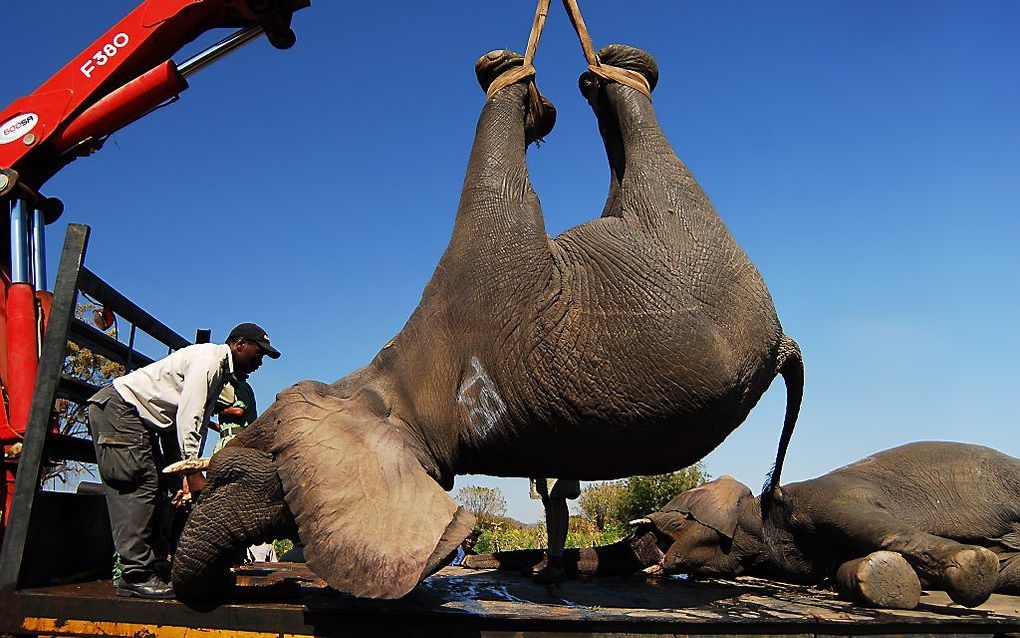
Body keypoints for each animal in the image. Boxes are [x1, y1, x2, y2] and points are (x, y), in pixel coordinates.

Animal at [169, 43, 803, 596]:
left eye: (227, 479)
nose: (236, 584)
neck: (383, 382)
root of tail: (782, 343)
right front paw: (527, 97)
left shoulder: (486, 264)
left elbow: (493, 182)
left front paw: (512, 83)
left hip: (686, 237)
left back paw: (611, 71)